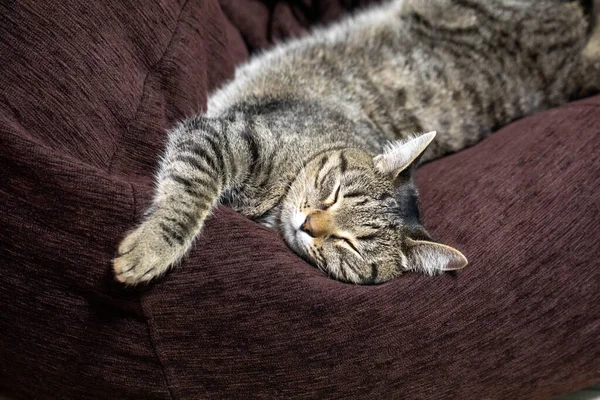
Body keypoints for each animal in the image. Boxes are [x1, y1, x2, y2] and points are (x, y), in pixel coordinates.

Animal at [112, 0, 600, 284]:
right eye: (333, 192)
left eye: (347, 245)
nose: (309, 225)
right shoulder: (221, 135)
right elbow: (187, 196)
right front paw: (152, 247)